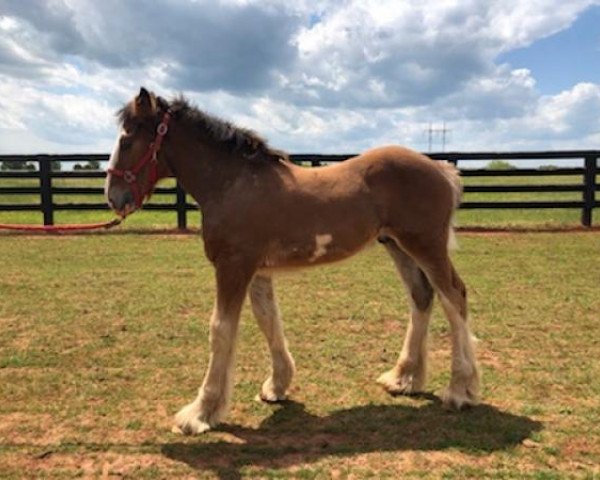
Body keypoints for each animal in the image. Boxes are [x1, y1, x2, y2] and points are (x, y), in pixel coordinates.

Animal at [105, 86, 480, 436]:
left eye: (128, 137)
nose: (113, 197)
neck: (234, 184)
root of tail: (443, 170)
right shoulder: (256, 271)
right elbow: (268, 320)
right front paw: (276, 386)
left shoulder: (233, 267)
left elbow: (221, 330)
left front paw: (200, 413)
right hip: (398, 246)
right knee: (422, 297)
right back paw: (404, 379)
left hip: (427, 247)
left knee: (454, 297)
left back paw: (460, 390)